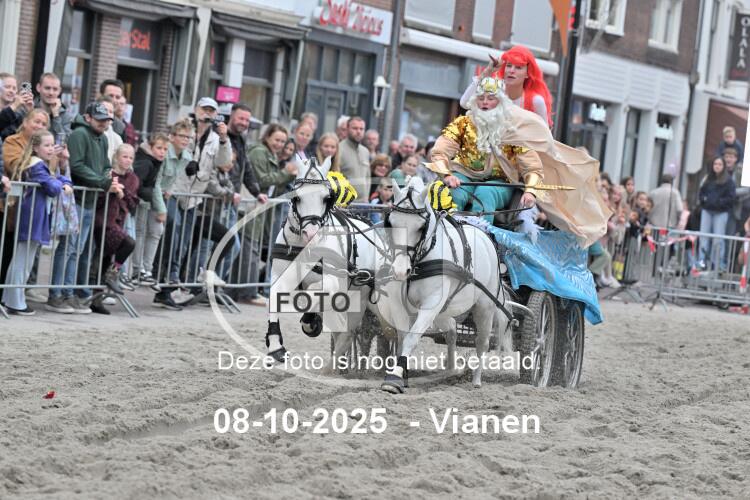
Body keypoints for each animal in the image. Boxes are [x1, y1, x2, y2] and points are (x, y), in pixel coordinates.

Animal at [380, 177, 512, 393]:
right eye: (391, 222)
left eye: (420, 227)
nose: (400, 271)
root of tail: (485, 235)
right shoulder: (399, 304)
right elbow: (402, 337)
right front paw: (400, 375)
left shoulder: (430, 304)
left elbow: (411, 338)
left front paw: (394, 379)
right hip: (444, 309)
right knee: (451, 329)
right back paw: (451, 369)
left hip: (484, 306)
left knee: (482, 342)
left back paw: (476, 380)